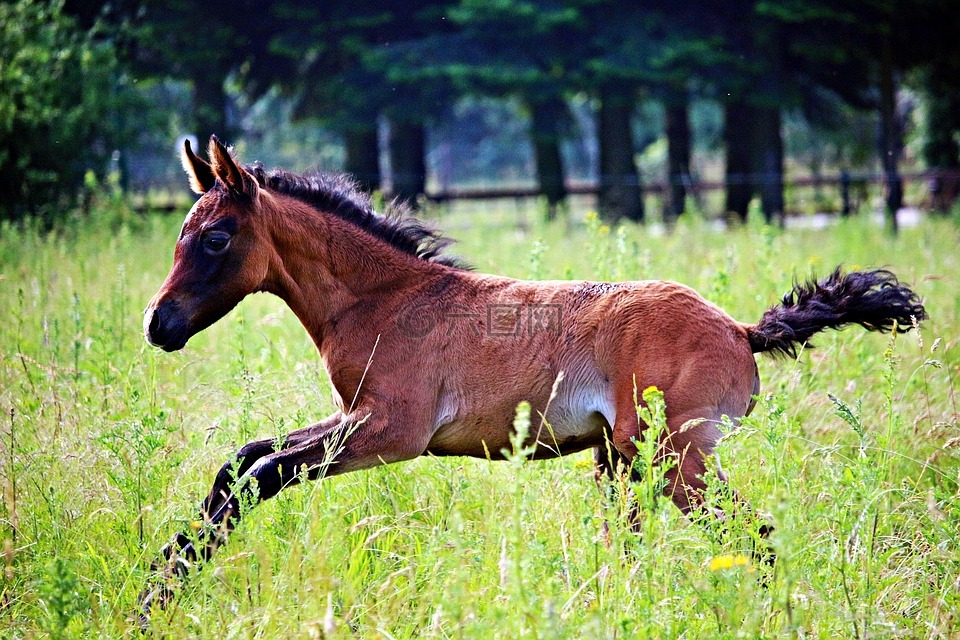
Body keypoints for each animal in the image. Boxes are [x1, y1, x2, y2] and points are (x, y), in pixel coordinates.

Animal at [139, 136, 926, 615]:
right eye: (180, 233)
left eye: (215, 239)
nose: (158, 325)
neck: (387, 298)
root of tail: (740, 330)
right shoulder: (354, 416)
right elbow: (242, 460)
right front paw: (161, 582)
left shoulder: (392, 432)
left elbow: (265, 473)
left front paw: (163, 588)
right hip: (622, 461)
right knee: (633, 551)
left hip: (680, 460)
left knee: (755, 538)